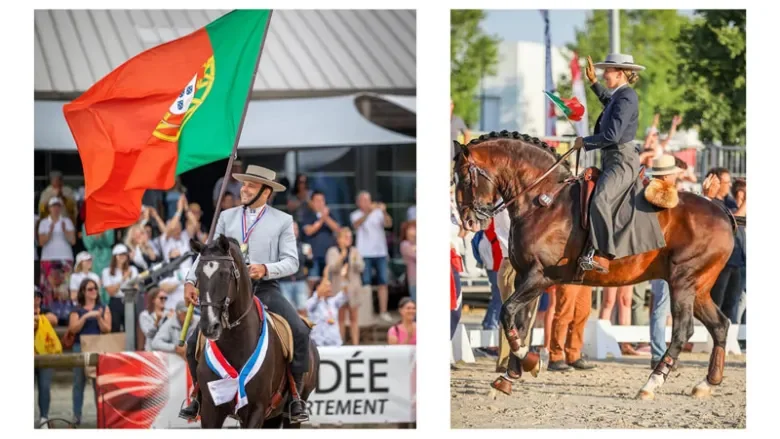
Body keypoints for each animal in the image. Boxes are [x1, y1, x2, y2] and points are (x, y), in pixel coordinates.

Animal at [189, 237, 320, 430]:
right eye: (197, 273)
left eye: (225, 274)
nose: (209, 326)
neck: (235, 343)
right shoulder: (210, 410)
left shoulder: (256, 409)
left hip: (291, 413)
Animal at [454, 131, 736, 402]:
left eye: (465, 179)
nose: (468, 221)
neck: (544, 200)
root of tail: (722, 212)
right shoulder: (524, 277)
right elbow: (518, 322)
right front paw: (508, 378)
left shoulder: (540, 277)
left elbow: (508, 312)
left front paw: (529, 361)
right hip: (698, 288)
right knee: (720, 325)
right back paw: (707, 383)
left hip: (683, 282)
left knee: (682, 331)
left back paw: (651, 385)